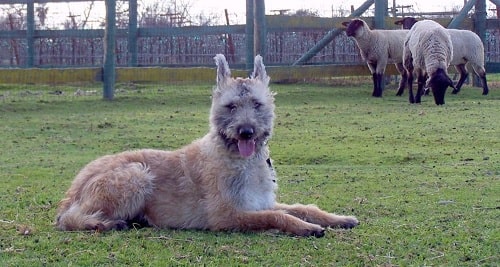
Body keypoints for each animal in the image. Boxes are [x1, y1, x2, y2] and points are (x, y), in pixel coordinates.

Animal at [55, 54, 360, 237]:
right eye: (231, 106)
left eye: (257, 104)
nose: (246, 132)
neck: (239, 158)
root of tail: (74, 187)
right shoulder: (227, 215)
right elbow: (277, 216)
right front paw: (304, 227)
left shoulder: (260, 202)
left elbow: (300, 207)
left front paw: (336, 218)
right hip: (136, 174)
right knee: (69, 218)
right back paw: (101, 222)